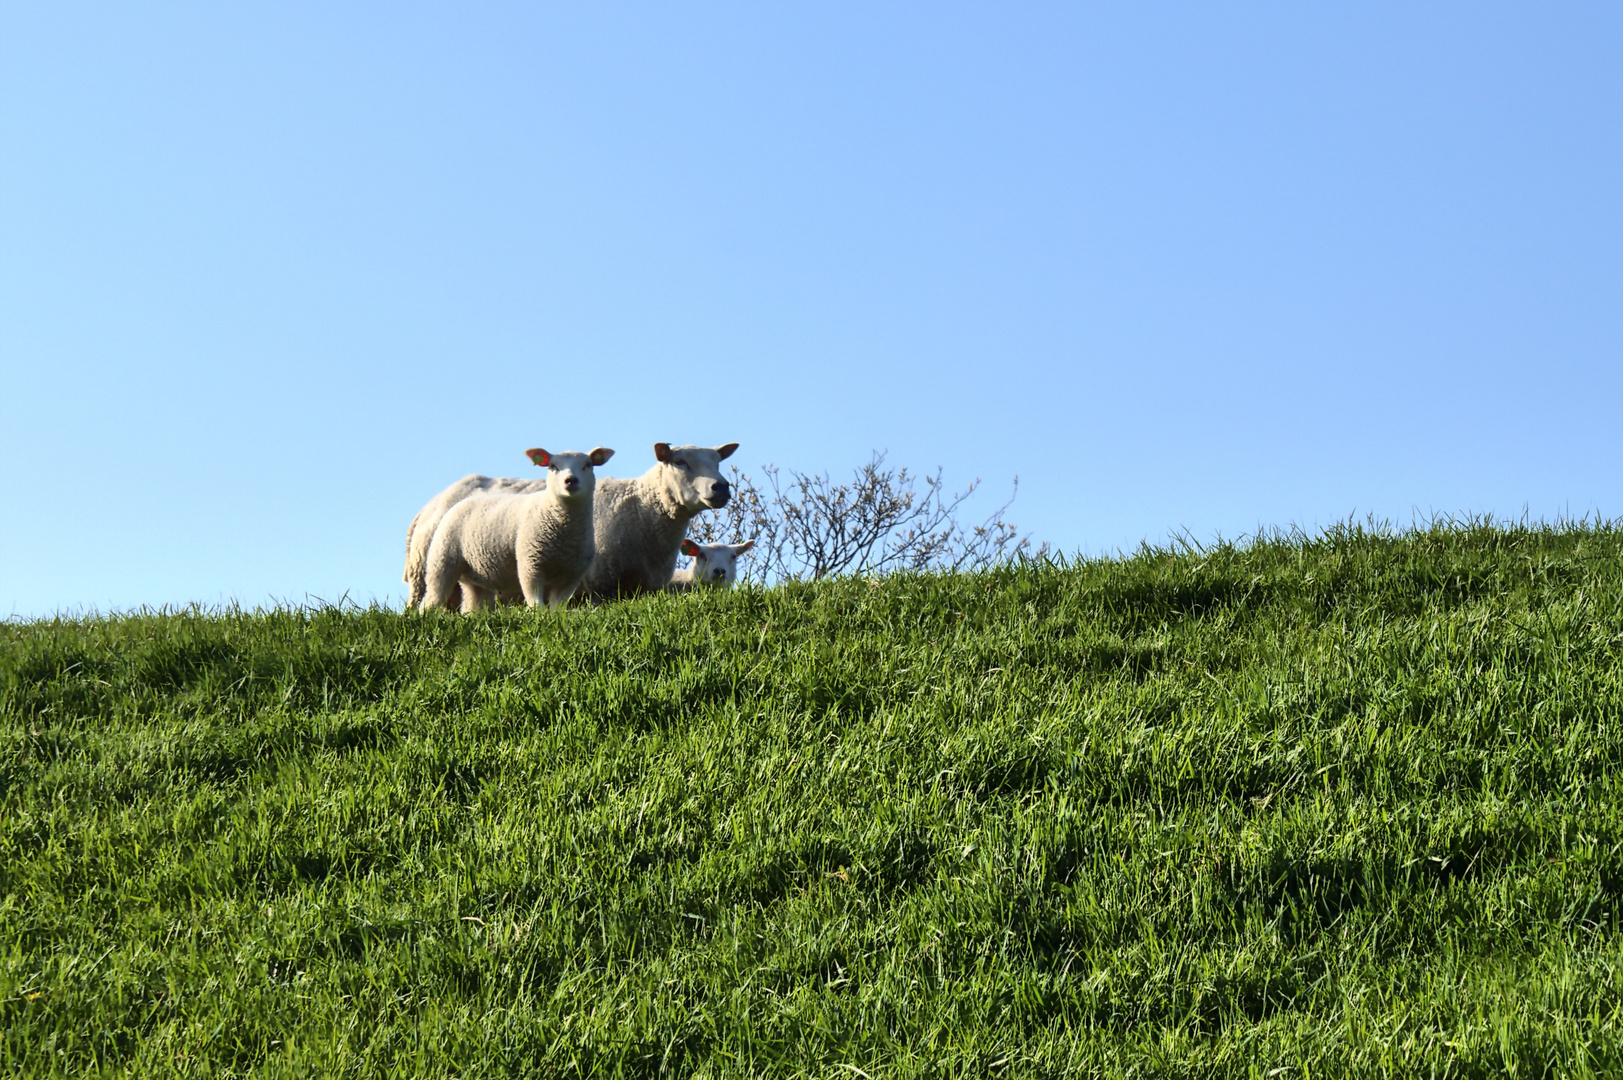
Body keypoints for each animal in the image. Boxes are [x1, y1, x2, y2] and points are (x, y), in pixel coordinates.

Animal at [418, 444, 613, 610]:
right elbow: (535, 601)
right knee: (433, 597)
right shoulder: (530, 563)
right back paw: (426, 614)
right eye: (553, 467)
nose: (570, 480)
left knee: (474, 604)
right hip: (442, 559)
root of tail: (463, 501)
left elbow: (557, 607)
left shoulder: (571, 576)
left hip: (475, 576)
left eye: (588, 465)